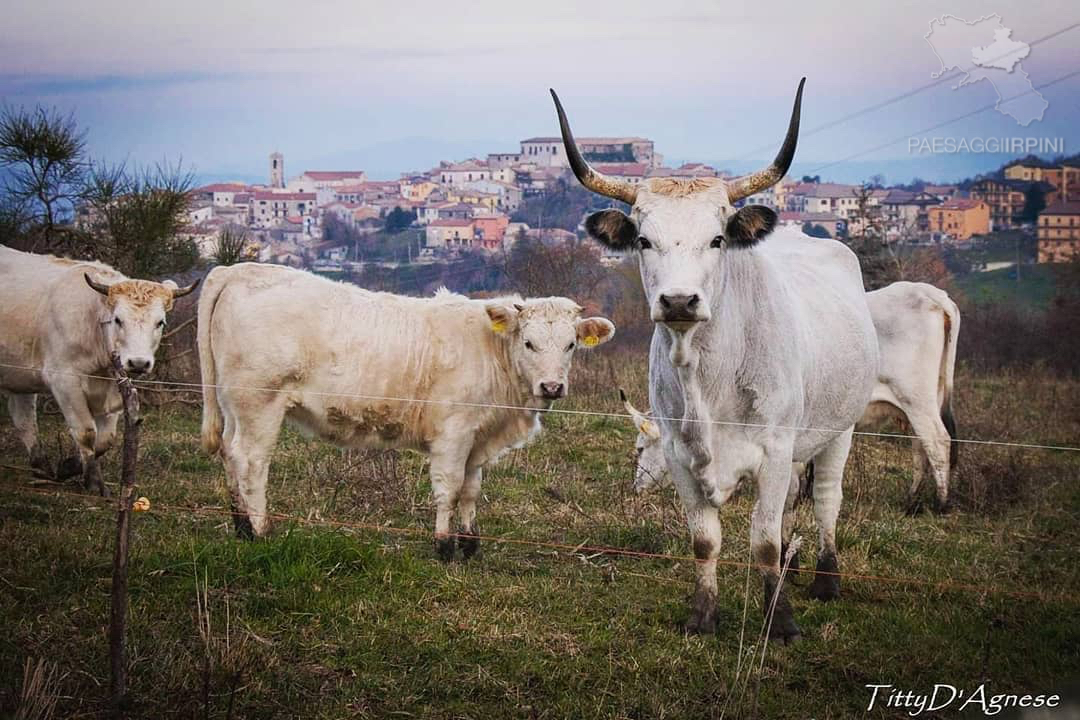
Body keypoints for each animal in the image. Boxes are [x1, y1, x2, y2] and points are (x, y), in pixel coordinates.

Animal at [0, 245, 198, 492]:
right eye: (118, 319)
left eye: (160, 322)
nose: (138, 363)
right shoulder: (65, 381)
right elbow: (86, 433)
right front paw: (93, 482)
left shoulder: (116, 390)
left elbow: (105, 440)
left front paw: (69, 466)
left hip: (20, 377)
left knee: (24, 420)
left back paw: (41, 468)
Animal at [196, 262, 617, 561]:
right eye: (529, 343)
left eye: (570, 345)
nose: (552, 387)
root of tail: (237, 269)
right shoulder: (453, 434)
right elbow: (449, 489)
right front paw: (444, 546)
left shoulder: (478, 437)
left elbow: (471, 490)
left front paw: (470, 544)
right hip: (259, 403)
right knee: (251, 461)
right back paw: (261, 531)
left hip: (234, 405)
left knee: (230, 452)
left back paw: (241, 527)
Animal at [552, 80, 881, 643]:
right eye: (644, 240)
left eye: (717, 238)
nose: (679, 301)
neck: (707, 377)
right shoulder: (680, 455)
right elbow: (705, 540)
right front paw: (702, 616)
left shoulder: (774, 449)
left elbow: (763, 540)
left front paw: (781, 622)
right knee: (793, 504)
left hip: (839, 428)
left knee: (825, 500)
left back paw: (825, 579)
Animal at [630, 280, 967, 511]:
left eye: (639, 448)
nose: (635, 488)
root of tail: (935, 296)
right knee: (921, 447)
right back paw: (911, 499)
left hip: (916, 398)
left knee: (937, 441)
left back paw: (939, 503)